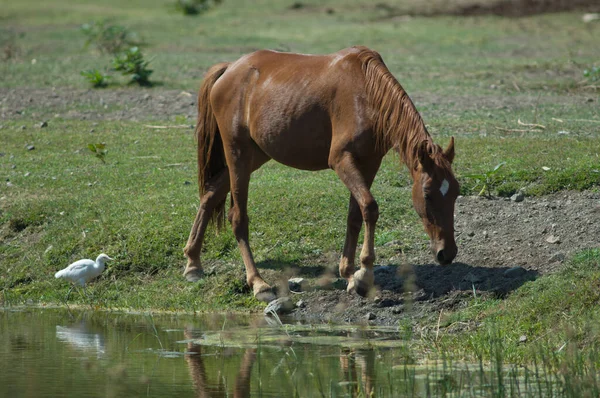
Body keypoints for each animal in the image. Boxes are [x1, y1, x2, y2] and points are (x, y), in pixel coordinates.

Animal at [184, 45, 460, 302]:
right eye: (427, 194)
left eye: (456, 193)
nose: (447, 253)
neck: (366, 94)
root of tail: (230, 69)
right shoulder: (341, 160)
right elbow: (370, 208)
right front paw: (364, 275)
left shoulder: (369, 163)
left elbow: (355, 215)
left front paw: (349, 273)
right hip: (238, 154)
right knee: (237, 217)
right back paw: (258, 283)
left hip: (256, 155)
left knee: (210, 194)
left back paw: (193, 263)